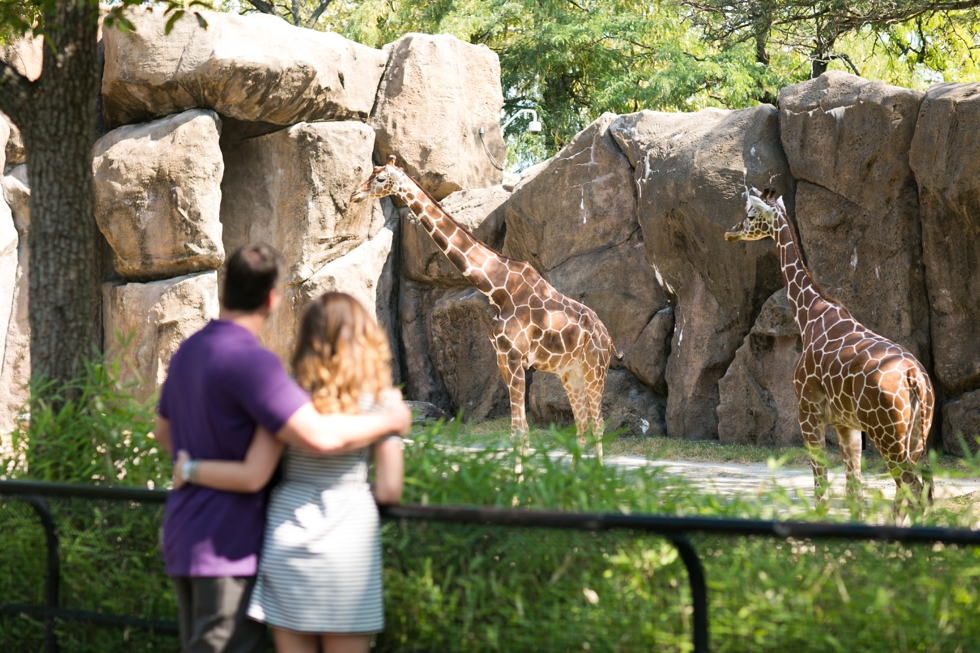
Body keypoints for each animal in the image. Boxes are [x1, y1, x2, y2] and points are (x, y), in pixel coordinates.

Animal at [350, 157, 620, 464]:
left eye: (381, 178)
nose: (354, 195)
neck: (498, 289)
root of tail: (608, 337)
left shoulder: (515, 360)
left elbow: (521, 431)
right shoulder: (503, 360)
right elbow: (517, 432)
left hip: (595, 368)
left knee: (598, 424)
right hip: (569, 372)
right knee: (582, 423)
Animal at [728, 186, 936, 512]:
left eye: (750, 215)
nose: (730, 232)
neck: (811, 315)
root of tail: (916, 378)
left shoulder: (808, 412)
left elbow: (822, 491)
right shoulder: (846, 424)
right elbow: (854, 493)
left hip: (887, 434)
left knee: (911, 489)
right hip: (916, 435)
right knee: (916, 491)